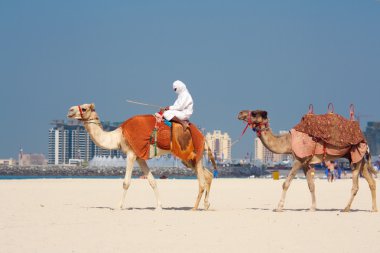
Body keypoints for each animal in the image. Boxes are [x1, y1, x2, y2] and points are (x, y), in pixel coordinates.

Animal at [68, 102, 217, 211]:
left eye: (84, 108)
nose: (70, 110)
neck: (118, 136)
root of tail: (203, 136)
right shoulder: (140, 157)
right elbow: (152, 181)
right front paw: (159, 206)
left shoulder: (131, 153)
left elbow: (126, 182)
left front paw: (118, 206)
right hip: (188, 159)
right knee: (208, 175)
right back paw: (206, 205)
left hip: (192, 154)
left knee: (202, 181)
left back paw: (194, 208)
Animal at [238, 109, 378, 212]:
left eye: (254, 113)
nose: (240, 113)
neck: (288, 142)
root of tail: (365, 140)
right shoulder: (305, 163)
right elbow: (311, 185)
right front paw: (312, 208)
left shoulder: (299, 160)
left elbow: (286, 183)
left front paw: (279, 207)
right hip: (359, 158)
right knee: (371, 182)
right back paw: (374, 209)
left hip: (356, 155)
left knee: (355, 185)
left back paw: (346, 208)